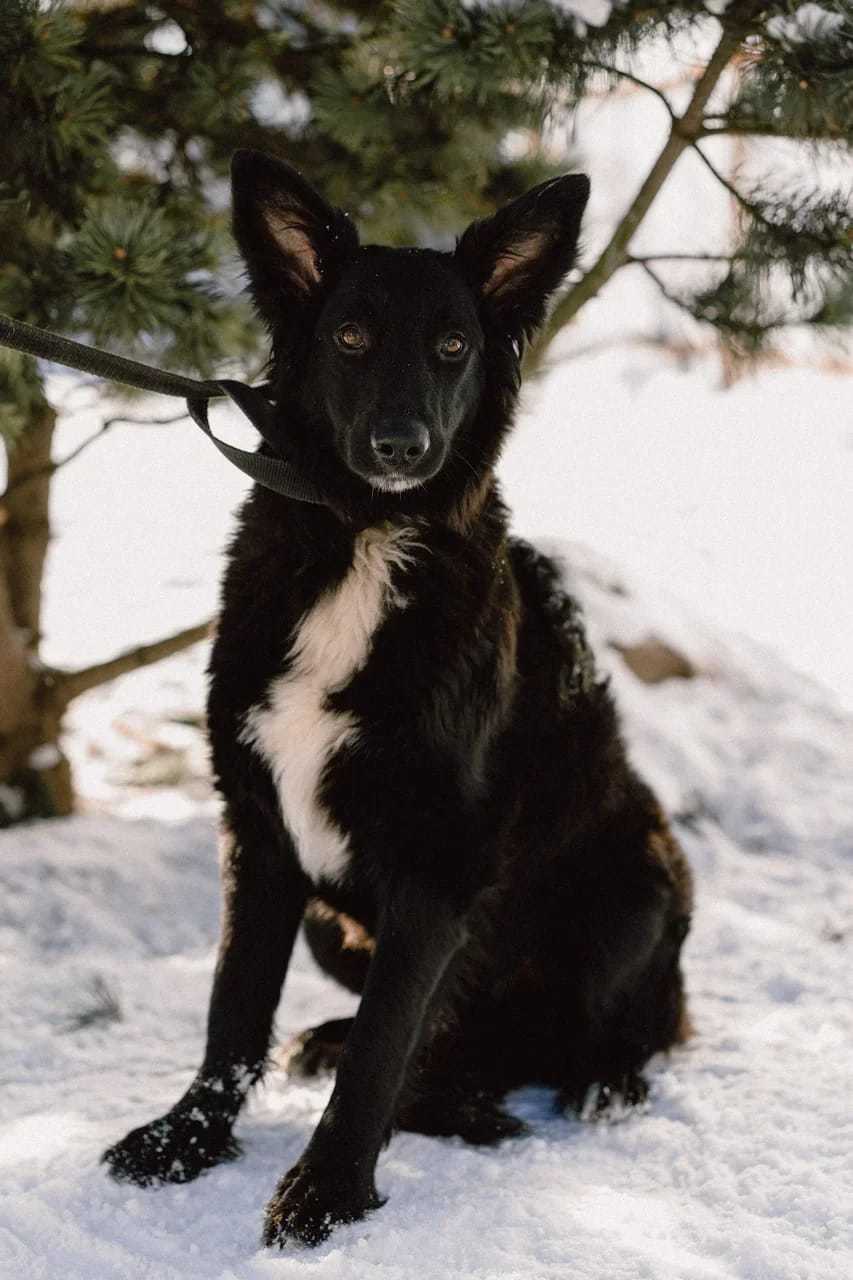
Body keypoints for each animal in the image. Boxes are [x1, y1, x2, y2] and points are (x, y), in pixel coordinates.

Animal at [106, 152, 691, 1249]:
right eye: (349, 337)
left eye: (453, 346)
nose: (399, 444)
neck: (365, 541)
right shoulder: (260, 834)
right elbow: (231, 1012)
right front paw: (187, 1138)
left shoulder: (438, 865)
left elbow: (387, 1047)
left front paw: (326, 1189)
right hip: (335, 927)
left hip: (634, 885)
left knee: (604, 1036)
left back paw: (585, 1086)